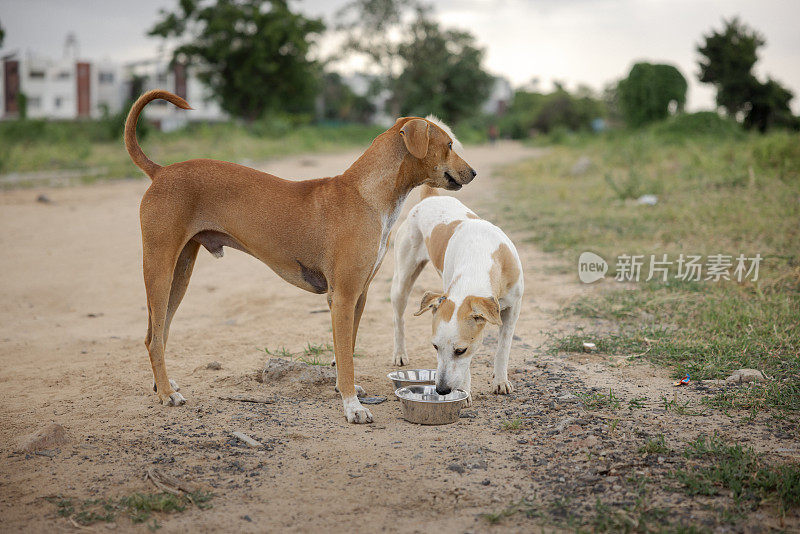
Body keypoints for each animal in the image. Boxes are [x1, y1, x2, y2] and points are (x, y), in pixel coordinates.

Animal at [125, 93, 476, 428]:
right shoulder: (343, 297)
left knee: (159, 334)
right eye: (448, 145)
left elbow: (346, 351)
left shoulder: (358, 297)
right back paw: (167, 393)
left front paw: (346, 389)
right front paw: (352, 407)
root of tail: (160, 171)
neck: (366, 195)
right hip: (159, 269)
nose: (472, 172)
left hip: (179, 275)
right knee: (153, 338)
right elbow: (345, 356)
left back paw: (163, 384)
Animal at [390, 124, 524, 402]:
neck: (480, 257)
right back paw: (399, 353)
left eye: (460, 350)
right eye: (434, 346)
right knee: (398, 317)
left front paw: (500, 380)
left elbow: (503, 348)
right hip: (402, 278)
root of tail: (430, 197)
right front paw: (466, 391)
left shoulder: (513, 308)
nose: (441, 390)